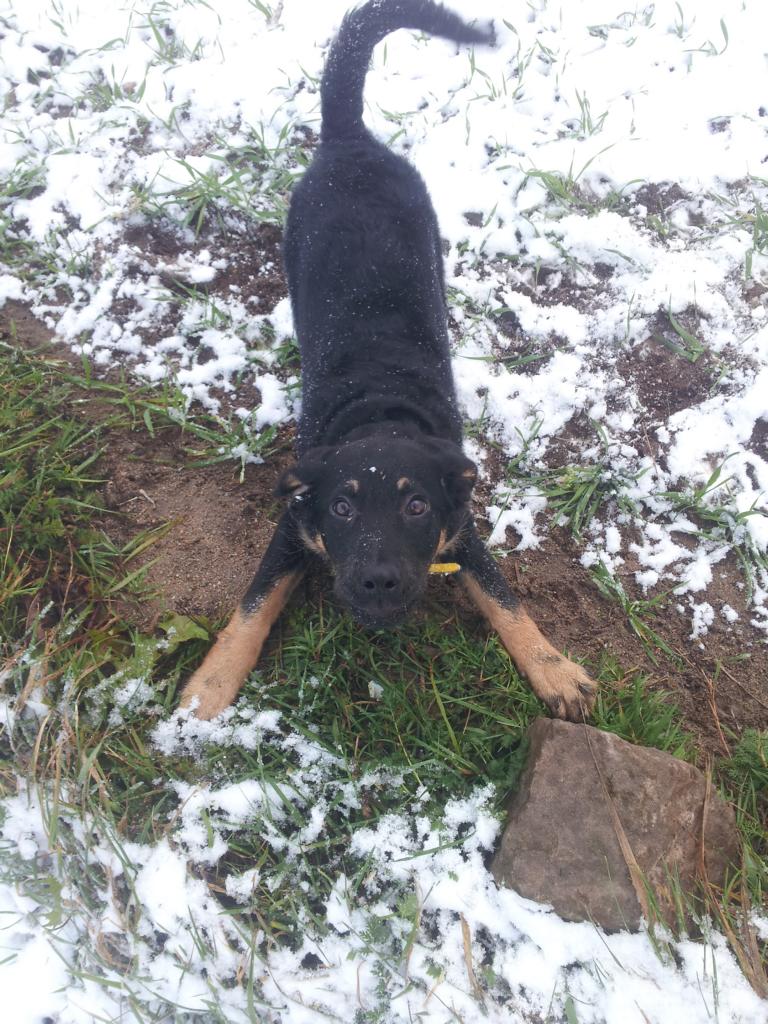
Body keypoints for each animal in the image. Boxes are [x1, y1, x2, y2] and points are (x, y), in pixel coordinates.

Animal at [179, 0, 593, 720]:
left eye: (416, 506)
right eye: (342, 510)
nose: (377, 583)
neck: (379, 415)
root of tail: (351, 140)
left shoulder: (460, 520)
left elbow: (504, 595)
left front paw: (554, 670)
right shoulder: (294, 522)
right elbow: (252, 604)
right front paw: (209, 689)